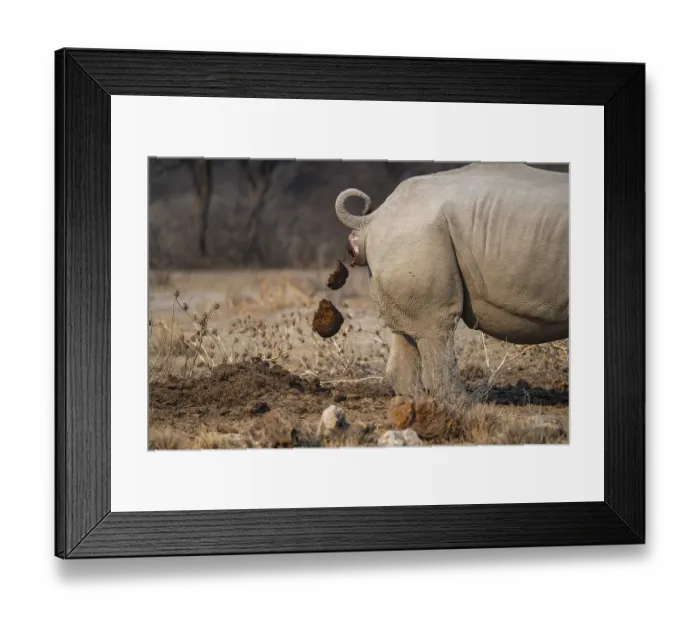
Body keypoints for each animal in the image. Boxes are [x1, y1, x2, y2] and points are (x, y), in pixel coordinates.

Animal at [334, 162, 569, 398]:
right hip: (419, 234)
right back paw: (464, 402)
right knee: (437, 325)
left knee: (404, 330)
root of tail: (374, 217)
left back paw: (417, 400)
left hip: (402, 237)